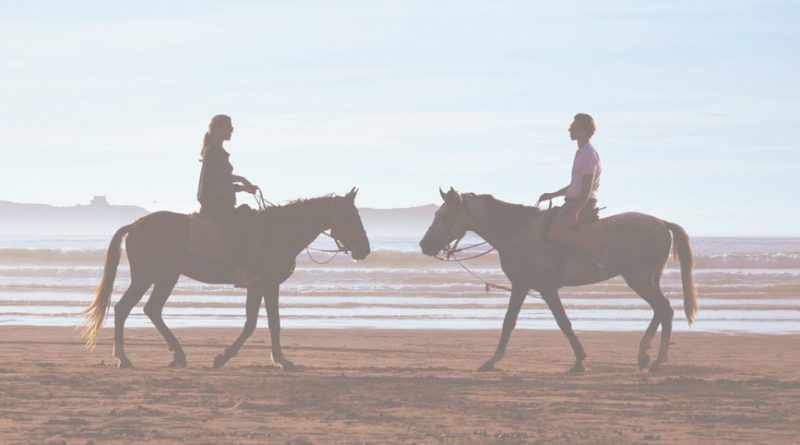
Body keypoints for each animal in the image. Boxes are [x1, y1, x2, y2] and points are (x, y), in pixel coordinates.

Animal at [81, 188, 370, 370]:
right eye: (350, 216)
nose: (364, 250)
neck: (278, 231)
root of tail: (135, 225)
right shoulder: (260, 284)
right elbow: (254, 324)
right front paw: (224, 358)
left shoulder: (268, 285)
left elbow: (271, 322)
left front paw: (279, 359)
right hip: (147, 276)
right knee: (124, 308)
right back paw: (123, 357)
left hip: (166, 276)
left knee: (151, 309)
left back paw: (177, 354)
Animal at [419, 188, 696, 373]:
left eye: (445, 216)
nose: (424, 245)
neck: (517, 233)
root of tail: (662, 223)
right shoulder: (521, 286)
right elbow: (509, 322)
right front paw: (492, 360)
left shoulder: (545, 288)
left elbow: (563, 322)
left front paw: (579, 361)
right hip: (647, 279)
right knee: (661, 310)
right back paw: (646, 355)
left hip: (638, 279)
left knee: (663, 308)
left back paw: (656, 359)